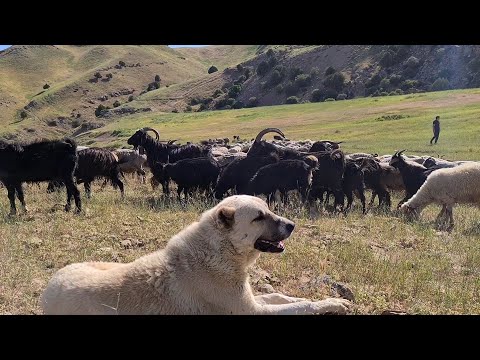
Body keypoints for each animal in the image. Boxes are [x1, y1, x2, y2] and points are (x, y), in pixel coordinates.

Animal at [42, 195, 352, 314]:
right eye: (259, 217)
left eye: (269, 208)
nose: (292, 225)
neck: (220, 250)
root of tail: (47, 288)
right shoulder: (250, 311)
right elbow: (301, 307)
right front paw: (332, 304)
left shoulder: (251, 299)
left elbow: (284, 296)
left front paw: (330, 299)